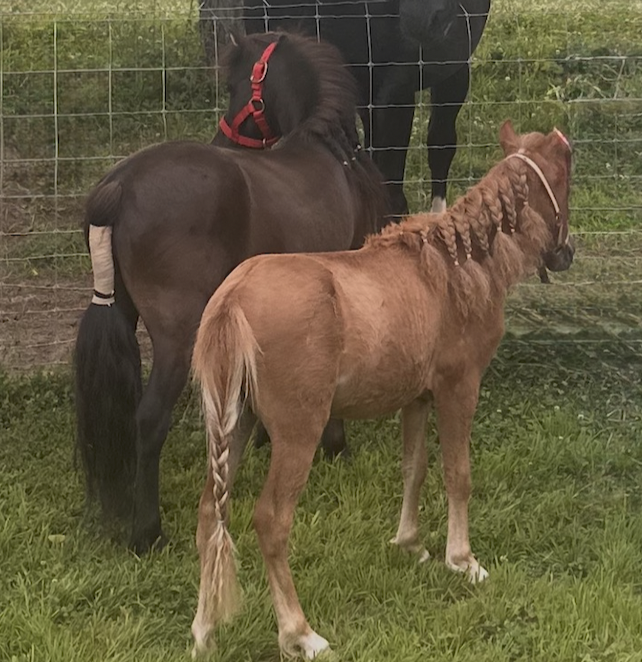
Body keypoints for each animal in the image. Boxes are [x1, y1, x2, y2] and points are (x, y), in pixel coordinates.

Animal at [74, 31, 387, 554]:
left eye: (236, 85)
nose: (221, 138)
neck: (326, 151)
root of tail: (120, 183)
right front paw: (334, 443)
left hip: (121, 313)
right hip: (178, 335)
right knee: (149, 419)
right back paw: (148, 532)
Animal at [189, 121, 575, 658]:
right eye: (565, 180)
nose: (566, 253)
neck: (456, 265)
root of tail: (233, 298)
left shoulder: (416, 398)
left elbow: (414, 468)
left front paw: (410, 543)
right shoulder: (459, 388)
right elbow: (458, 473)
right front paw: (463, 560)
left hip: (235, 424)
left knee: (210, 511)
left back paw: (204, 630)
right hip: (297, 431)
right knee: (271, 520)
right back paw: (299, 632)